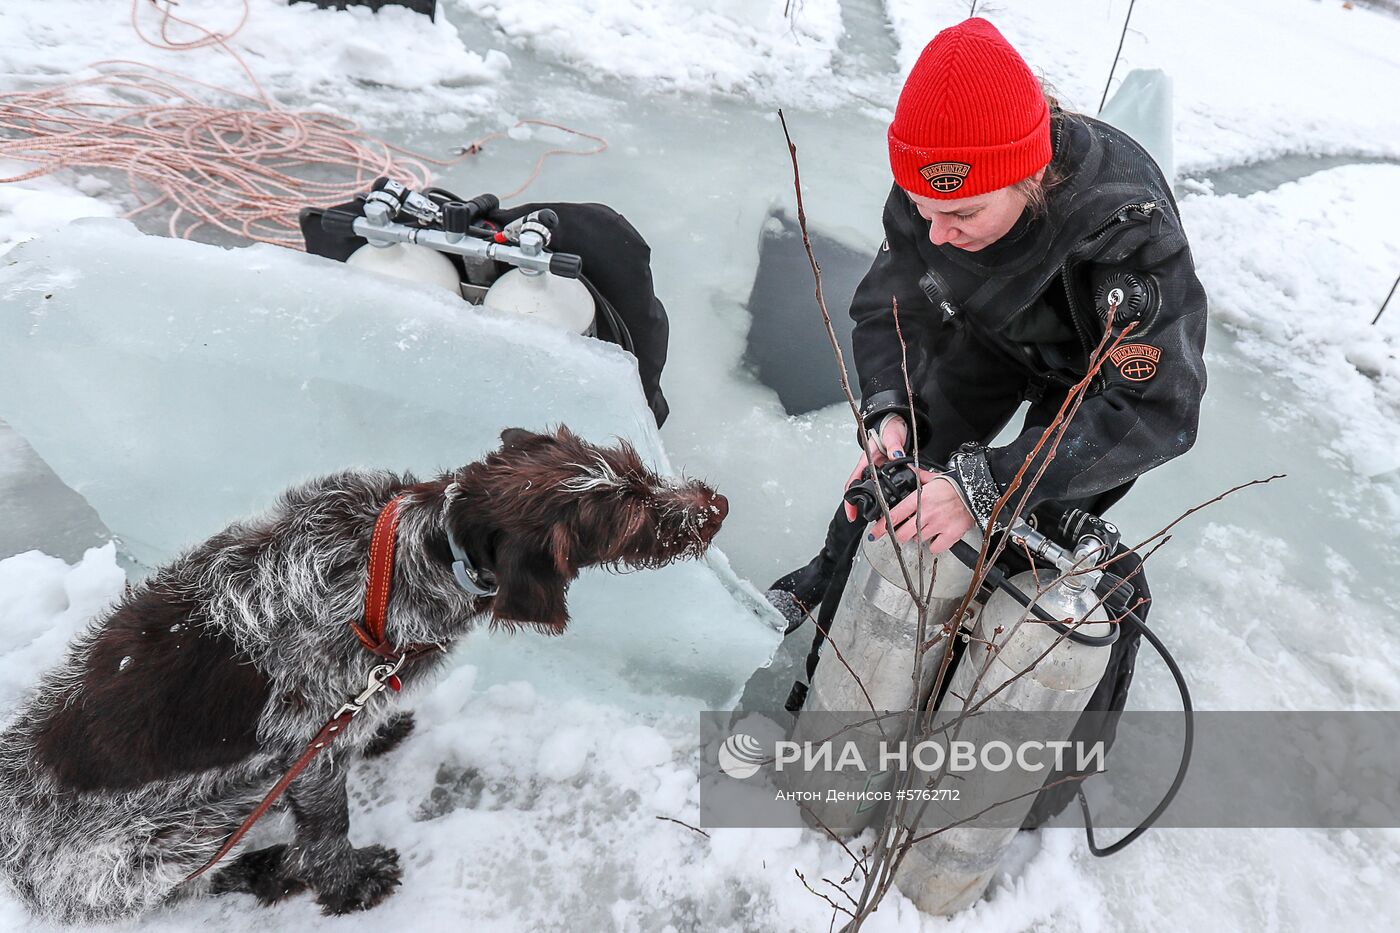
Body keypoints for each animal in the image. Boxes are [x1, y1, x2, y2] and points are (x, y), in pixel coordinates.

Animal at [0, 425, 728, 918]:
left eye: (636, 468)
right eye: (626, 517)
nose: (716, 506)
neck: (416, 552)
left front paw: (378, 733)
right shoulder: (308, 742)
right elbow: (329, 827)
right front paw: (351, 882)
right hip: (170, 836)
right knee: (179, 883)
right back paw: (263, 868)